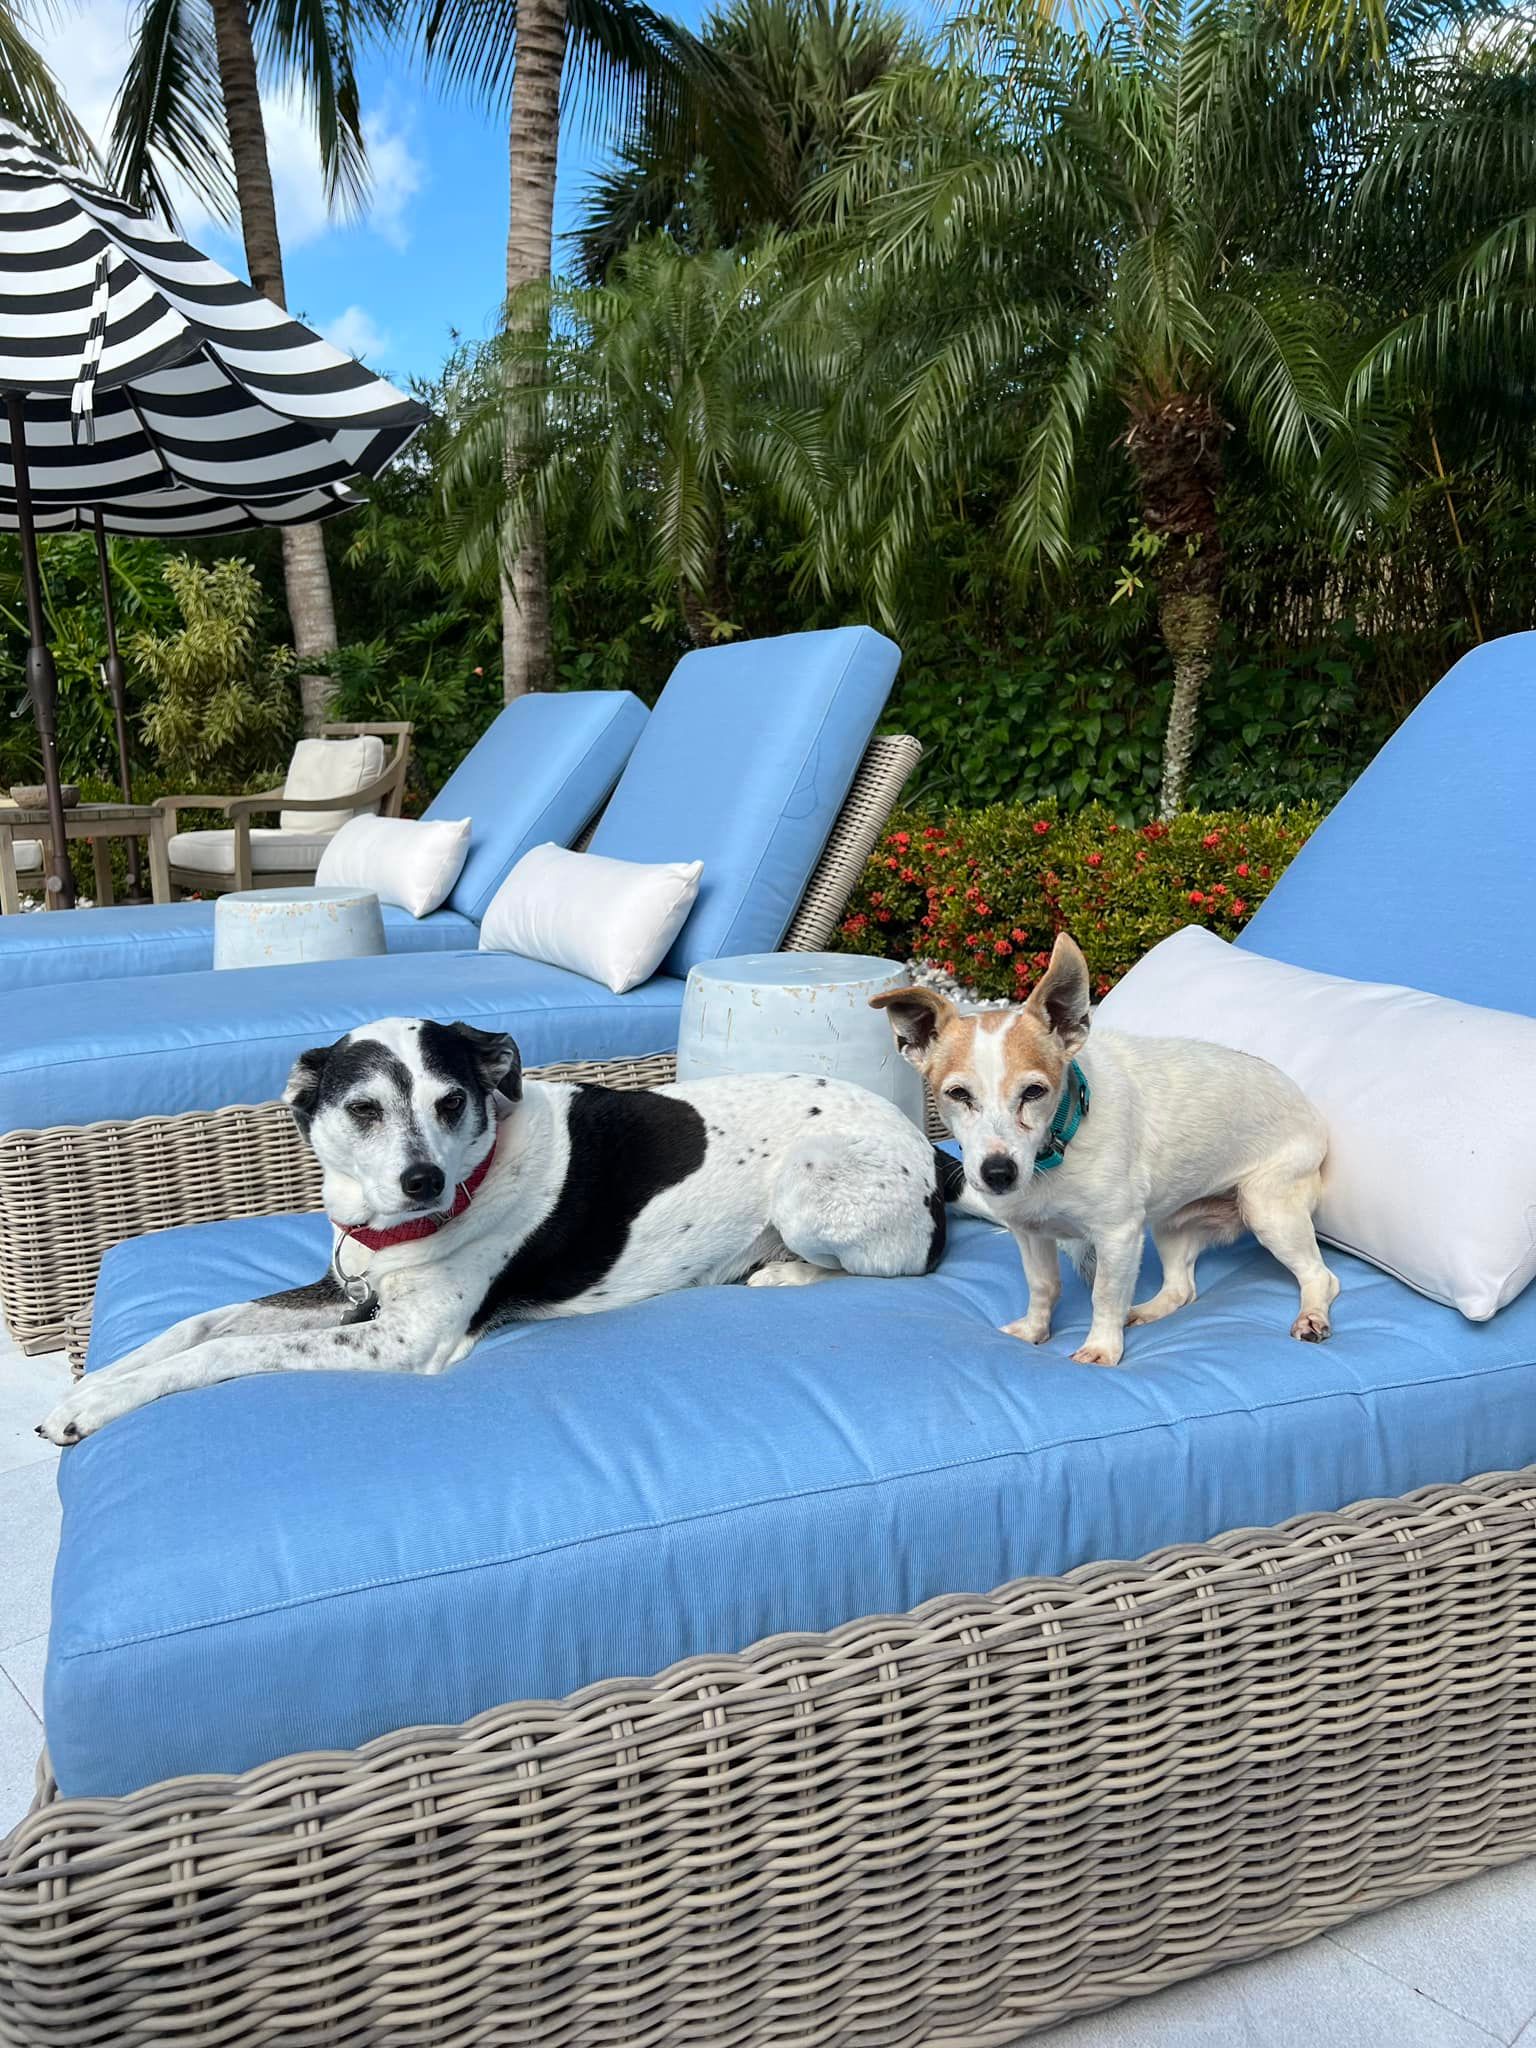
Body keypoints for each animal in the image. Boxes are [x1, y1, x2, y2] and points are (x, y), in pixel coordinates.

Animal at [36, 1019, 958, 1441]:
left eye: (452, 1101)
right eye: (363, 1110)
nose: (423, 1182)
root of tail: (932, 1157)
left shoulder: (402, 1341)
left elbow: (223, 1351)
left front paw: (97, 1403)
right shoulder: (342, 1294)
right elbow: (198, 1323)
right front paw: (96, 1383)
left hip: (809, 1184)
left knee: (897, 1267)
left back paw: (783, 1271)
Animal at [872, 937, 1343, 1368]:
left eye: (1034, 1091)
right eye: (957, 1094)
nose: (998, 1173)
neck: (1054, 1155)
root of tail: (1311, 1112)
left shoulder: (1118, 1235)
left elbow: (1105, 1294)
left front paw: (1101, 1349)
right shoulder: (1030, 1233)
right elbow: (1044, 1287)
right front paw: (1034, 1331)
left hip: (1268, 1210)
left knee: (1322, 1277)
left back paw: (1312, 1318)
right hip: (1171, 1225)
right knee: (1181, 1289)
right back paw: (1145, 1311)